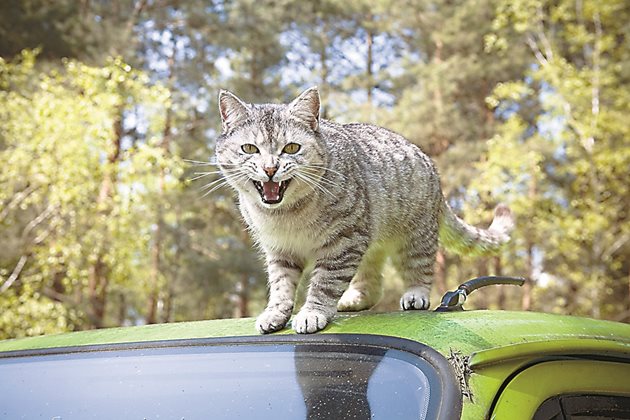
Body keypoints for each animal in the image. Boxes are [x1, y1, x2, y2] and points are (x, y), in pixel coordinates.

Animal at [215, 87, 516, 334]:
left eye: (291, 147)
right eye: (249, 148)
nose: (270, 168)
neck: (285, 214)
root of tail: (431, 165)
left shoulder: (343, 241)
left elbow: (325, 282)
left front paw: (312, 312)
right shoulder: (280, 251)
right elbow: (281, 285)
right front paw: (275, 313)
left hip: (415, 235)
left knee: (420, 266)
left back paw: (415, 293)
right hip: (370, 243)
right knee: (372, 284)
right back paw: (352, 300)